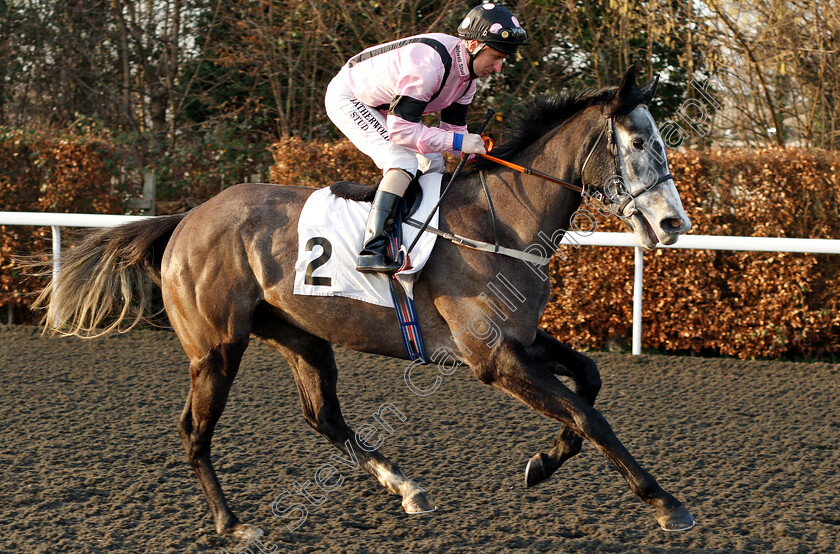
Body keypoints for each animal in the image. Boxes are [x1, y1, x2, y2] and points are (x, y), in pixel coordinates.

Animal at [34, 64, 696, 536]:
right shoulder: (490, 357)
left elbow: (588, 381)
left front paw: (544, 462)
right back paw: (231, 522)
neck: (503, 220)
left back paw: (405, 487)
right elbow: (587, 413)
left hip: (301, 334)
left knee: (323, 415)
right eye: (640, 141)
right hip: (216, 348)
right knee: (194, 429)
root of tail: (186, 219)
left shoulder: (518, 340)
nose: (673, 224)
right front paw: (665, 501)